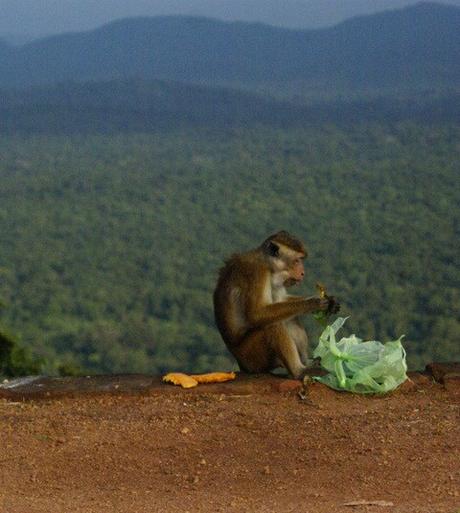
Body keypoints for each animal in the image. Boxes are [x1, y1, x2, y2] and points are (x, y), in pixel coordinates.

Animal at [214, 230, 340, 378]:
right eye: (297, 260)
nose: (303, 273)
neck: (267, 265)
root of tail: (242, 365)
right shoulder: (257, 272)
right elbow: (257, 314)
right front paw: (312, 303)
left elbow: (280, 300)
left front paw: (329, 302)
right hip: (252, 358)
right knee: (272, 325)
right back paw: (299, 371)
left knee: (290, 318)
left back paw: (306, 362)